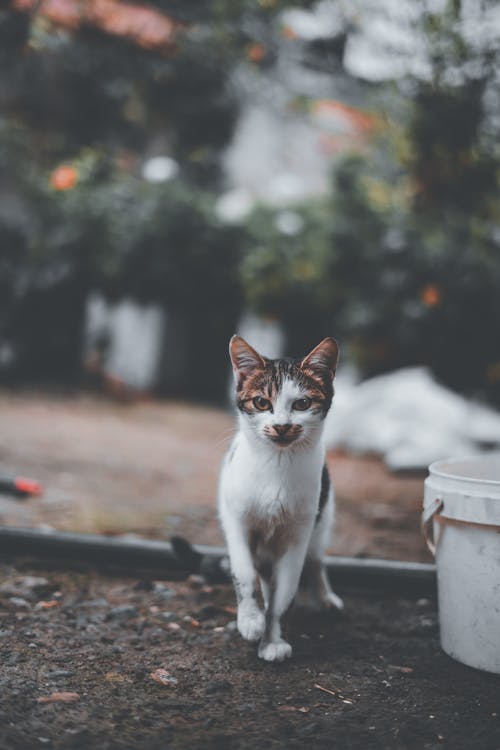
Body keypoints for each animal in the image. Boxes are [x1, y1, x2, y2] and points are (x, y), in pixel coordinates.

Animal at [219, 336, 344, 664]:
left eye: (302, 404)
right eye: (262, 402)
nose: (282, 426)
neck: (277, 464)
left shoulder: (298, 534)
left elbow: (286, 591)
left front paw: (274, 640)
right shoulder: (237, 521)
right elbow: (244, 571)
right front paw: (251, 619)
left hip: (322, 517)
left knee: (316, 560)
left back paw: (325, 596)